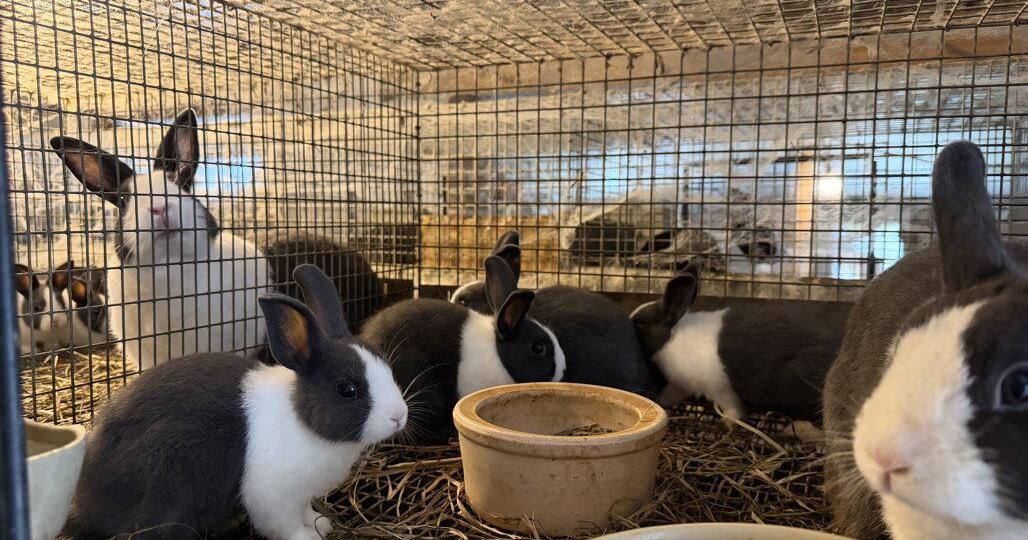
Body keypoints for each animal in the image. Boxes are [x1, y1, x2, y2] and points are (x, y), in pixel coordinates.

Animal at [63, 265, 408, 540]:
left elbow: (306, 512)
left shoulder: (300, 497)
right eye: (347, 390)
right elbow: (285, 526)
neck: (303, 420)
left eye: (388, 369)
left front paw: (321, 524)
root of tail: (82, 502)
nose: (399, 417)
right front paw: (309, 537)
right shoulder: (273, 498)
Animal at [630, 266, 851, 424]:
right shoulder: (682, 384)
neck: (673, 339)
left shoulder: (721, 390)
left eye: (639, 323)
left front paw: (726, 424)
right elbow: (670, 395)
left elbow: (734, 412)